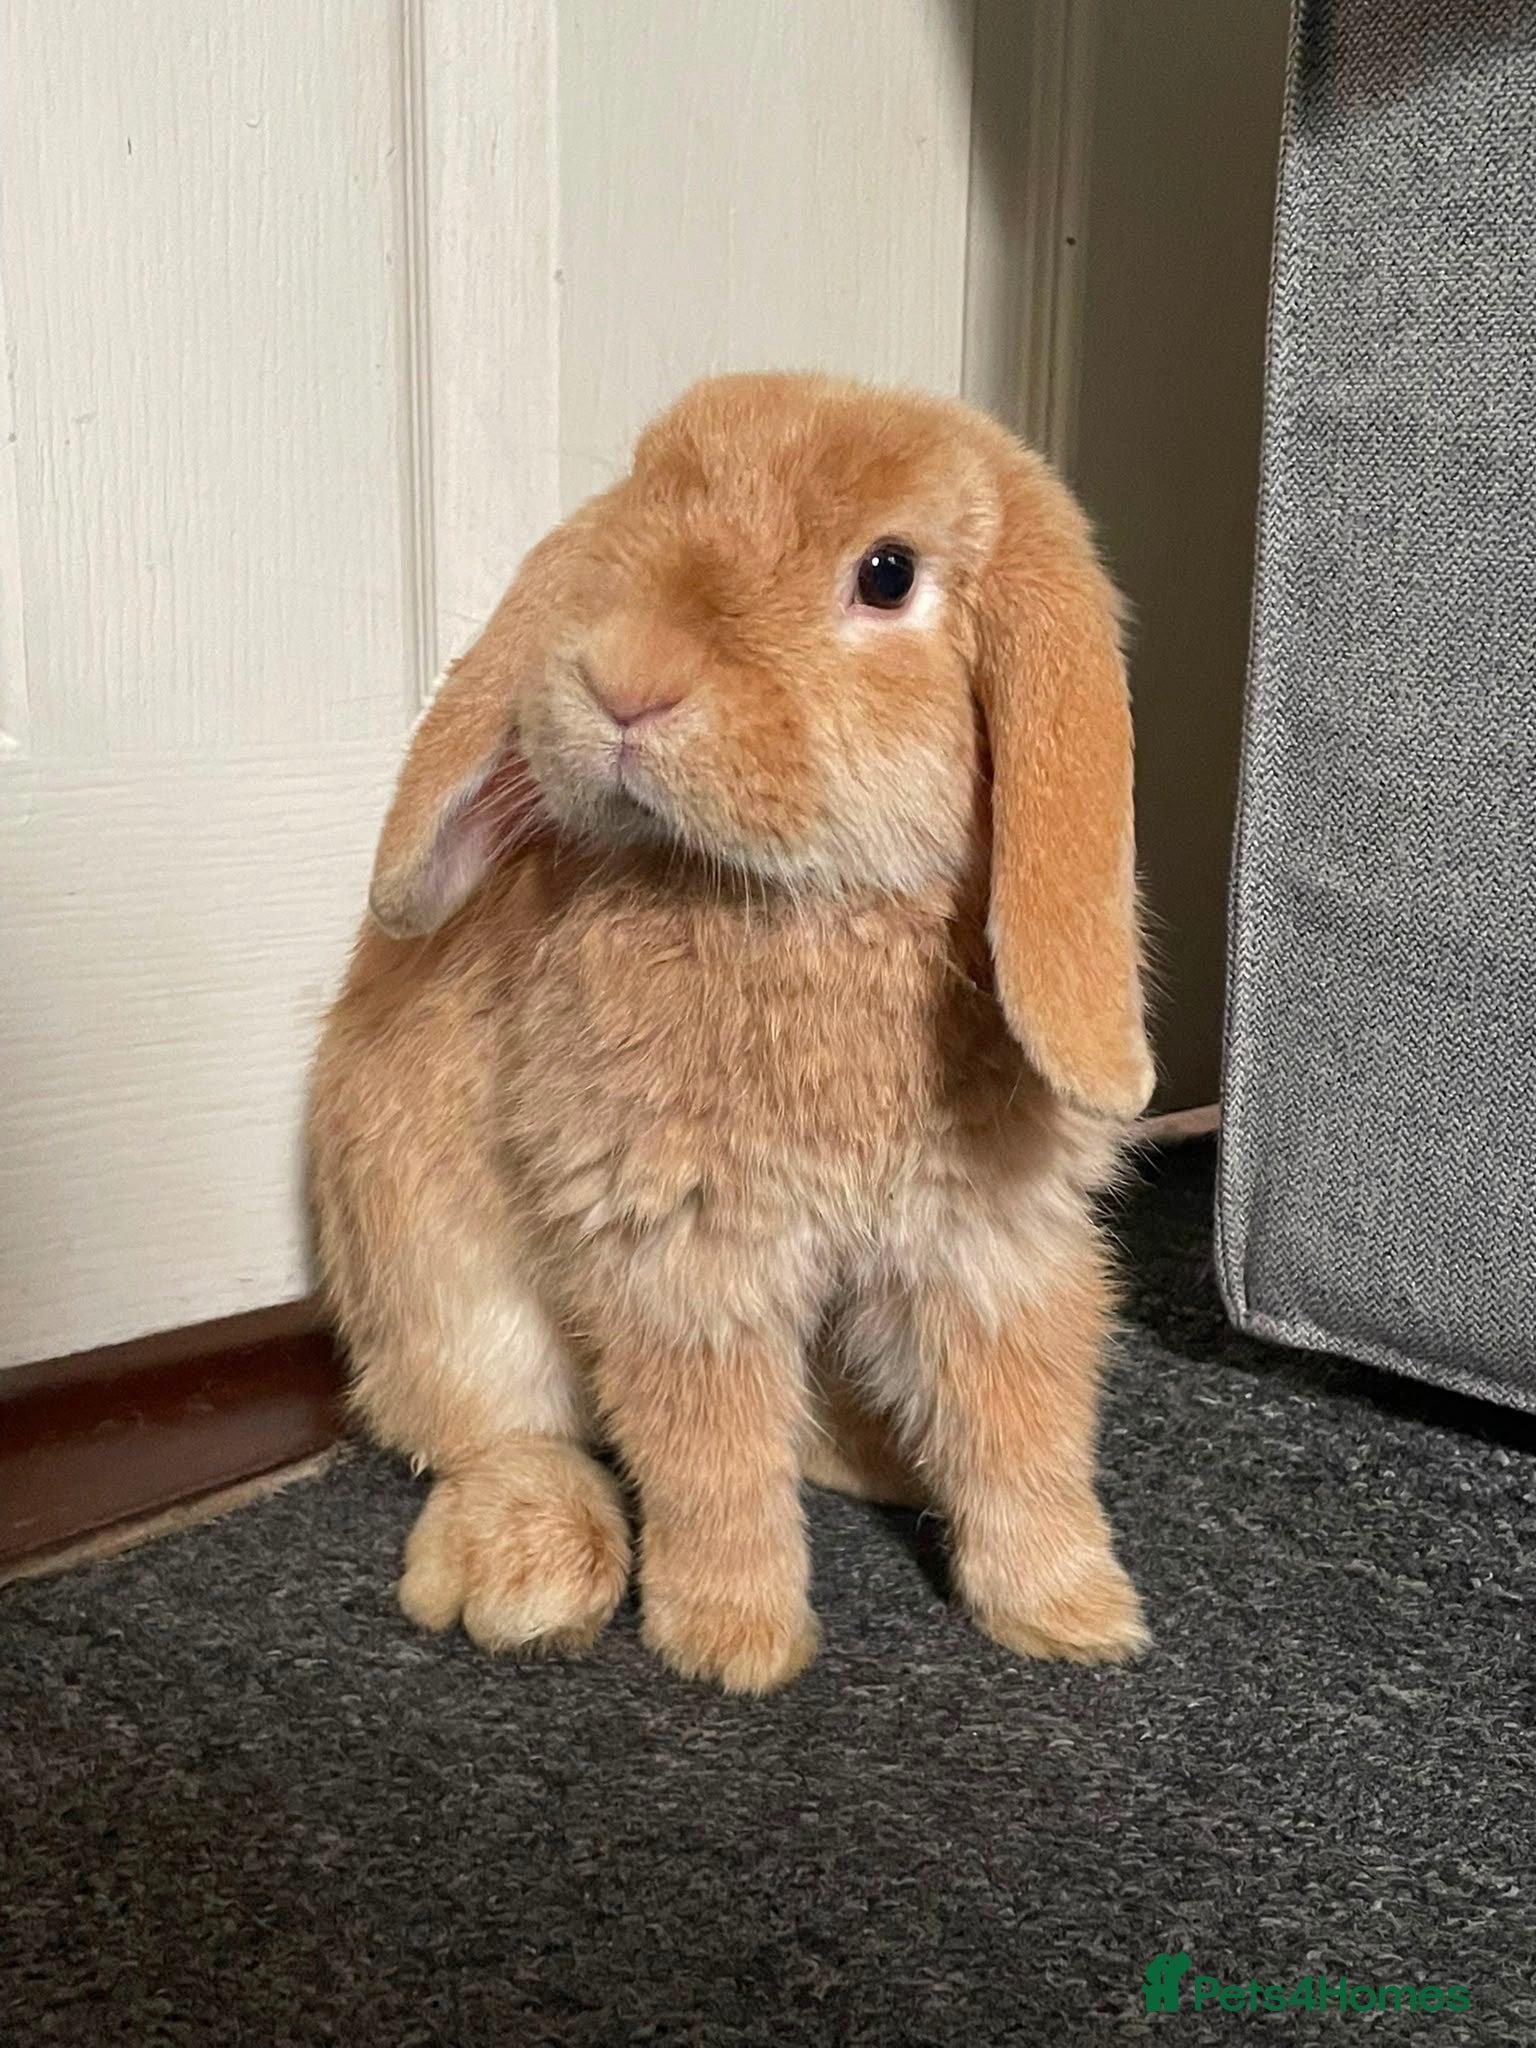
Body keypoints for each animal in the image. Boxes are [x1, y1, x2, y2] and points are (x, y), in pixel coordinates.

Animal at [308, 371, 1155, 1693]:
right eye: (643, 510)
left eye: (888, 573)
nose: (623, 676)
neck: (803, 902)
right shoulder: (683, 1251)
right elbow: (711, 1454)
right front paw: (734, 1643)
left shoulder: (990, 1246)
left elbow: (1023, 1434)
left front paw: (1075, 1615)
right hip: (436, 1262)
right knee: (492, 1426)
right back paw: (532, 1572)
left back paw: (883, 1460)